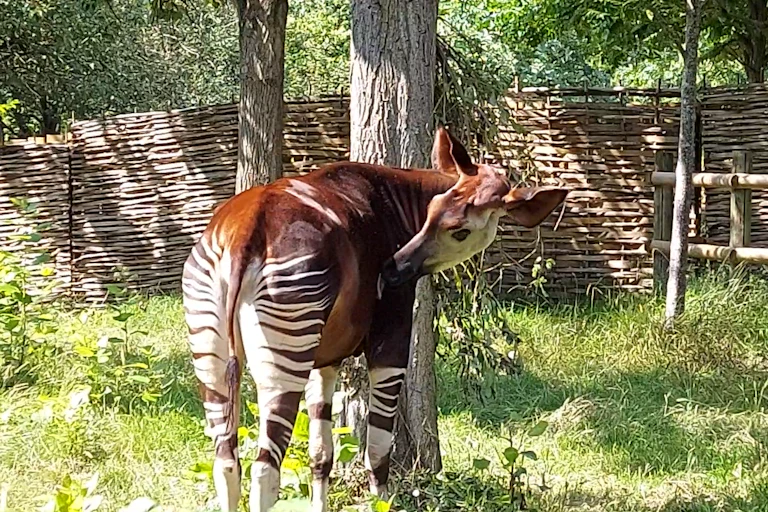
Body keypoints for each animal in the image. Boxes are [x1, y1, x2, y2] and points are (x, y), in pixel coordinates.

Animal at [181, 127, 568, 512]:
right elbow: (378, 452)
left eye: (458, 229)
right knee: (265, 470)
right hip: (285, 347)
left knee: (226, 462)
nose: (392, 269)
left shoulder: (325, 358)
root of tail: (244, 233)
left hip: (211, 345)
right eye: (431, 213)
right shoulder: (390, 342)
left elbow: (321, 455)